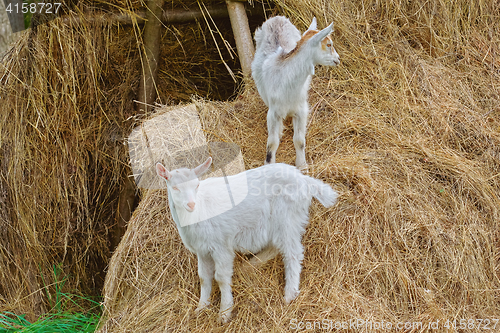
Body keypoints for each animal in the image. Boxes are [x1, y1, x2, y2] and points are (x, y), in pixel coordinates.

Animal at [250, 15, 340, 167]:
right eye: (329, 45)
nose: (338, 59)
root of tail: (277, 18)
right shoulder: (273, 112)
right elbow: (272, 142)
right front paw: (269, 164)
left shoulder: (301, 109)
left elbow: (299, 140)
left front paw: (302, 165)